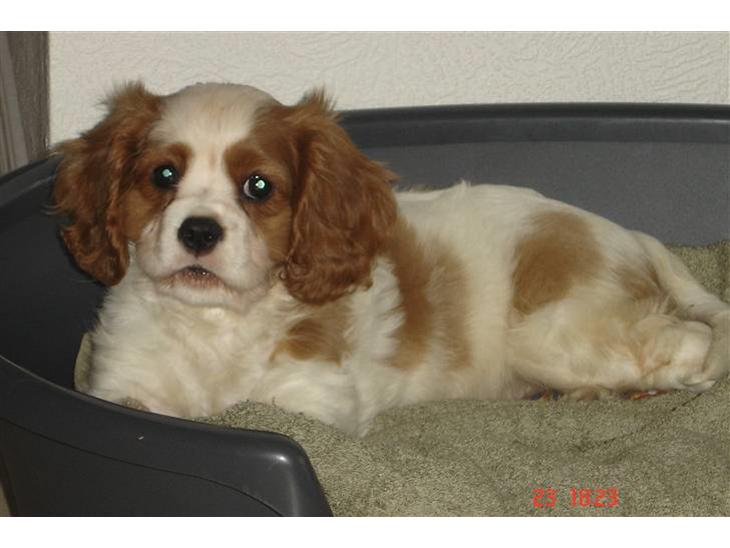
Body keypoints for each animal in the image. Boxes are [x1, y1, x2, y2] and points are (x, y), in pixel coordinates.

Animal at [53, 82, 730, 436]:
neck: (214, 324)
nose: (197, 231)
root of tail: (632, 235)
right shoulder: (122, 388)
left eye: (258, 187)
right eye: (163, 175)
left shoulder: (310, 404)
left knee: (691, 345)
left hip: (554, 334)